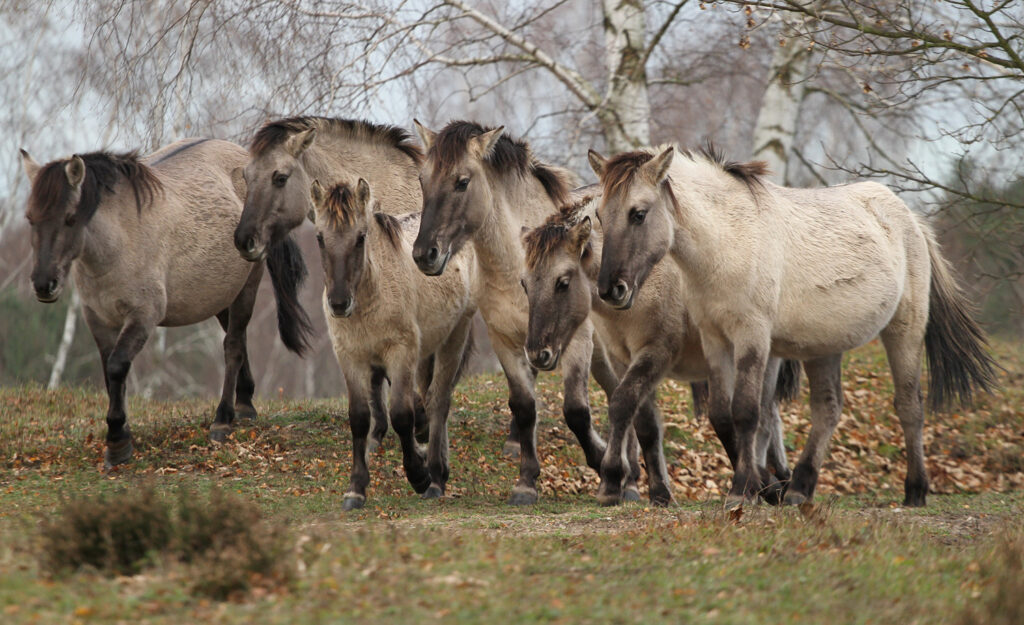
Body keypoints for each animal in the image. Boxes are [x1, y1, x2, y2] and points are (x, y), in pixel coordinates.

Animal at [20, 137, 311, 467]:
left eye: (70, 218)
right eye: (30, 218)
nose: (44, 284)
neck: (119, 240)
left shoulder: (143, 317)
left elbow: (117, 367)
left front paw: (117, 440)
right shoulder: (98, 321)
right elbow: (109, 373)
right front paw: (122, 433)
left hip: (247, 284)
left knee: (233, 346)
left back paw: (223, 419)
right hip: (222, 296)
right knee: (238, 341)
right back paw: (245, 403)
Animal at [307, 176, 475, 506]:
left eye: (360, 237)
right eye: (319, 237)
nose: (338, 303)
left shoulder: (401, 353)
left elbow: (401, 414)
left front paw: (418, 476)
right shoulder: (351, 358)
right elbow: (360, 417)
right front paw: (356, 488)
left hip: (454, 335)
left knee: (439, 400)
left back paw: (436, 476)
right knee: (430, 398)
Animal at [524, 196, 794, 504]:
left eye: (563, 282)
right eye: (524, 284)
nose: (537, 354)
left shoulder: (656, 352)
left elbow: (621, 404)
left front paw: (611, 481)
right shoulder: (623, 359)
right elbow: (645, 424)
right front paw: (659, 491)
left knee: (763, 418)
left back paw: (767, 482)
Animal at [589, 143, 995, 504]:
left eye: (638, 214)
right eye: (599, 217)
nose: (611, 290)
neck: (730, 241)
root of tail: (911, 219)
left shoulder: (751, 337)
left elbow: (746, 412)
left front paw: (743, 490)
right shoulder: (715, 339)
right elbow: (722, 415)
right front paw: (761, 487)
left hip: (904, 331)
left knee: (909, 406)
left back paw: (915, 490)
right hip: (825, 347)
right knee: (827, 410)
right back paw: (800, 488)